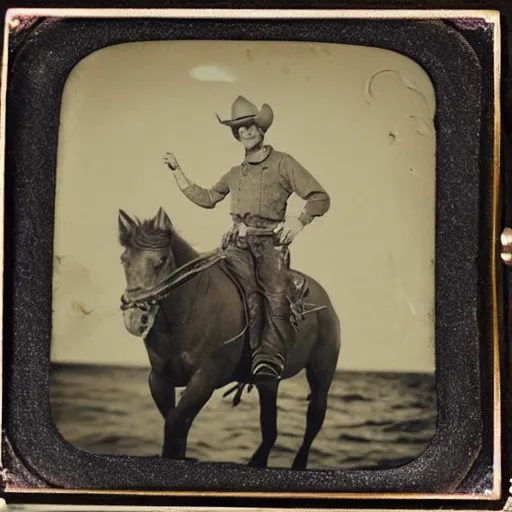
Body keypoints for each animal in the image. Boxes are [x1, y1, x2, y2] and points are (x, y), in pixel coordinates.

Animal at [116, 207, 340, 468]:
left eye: (160, 261)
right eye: (124, 260)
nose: (135, 317)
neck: (190, 308)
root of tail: (325, 302)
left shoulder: (205, 379)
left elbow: (175, 425)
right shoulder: (159, 380)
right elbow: (175, 428)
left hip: (321, 374)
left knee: (315, 417)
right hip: (268, 382)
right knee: (270, 429)